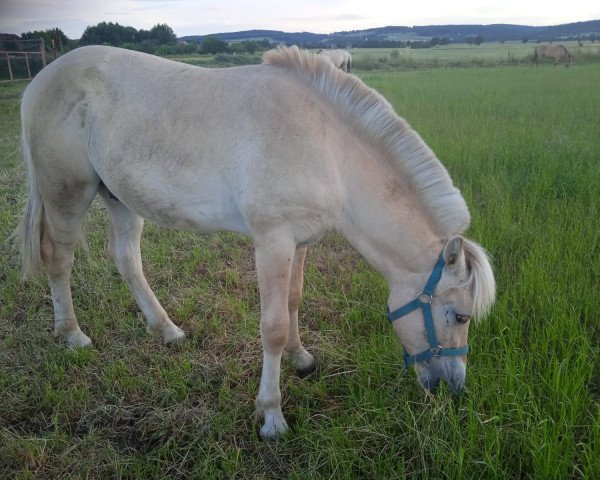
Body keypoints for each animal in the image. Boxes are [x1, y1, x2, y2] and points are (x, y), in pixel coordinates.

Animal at [19, 46, 496, 438]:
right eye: (459, 315)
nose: (454, 387)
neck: (325, 147)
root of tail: (39, 79)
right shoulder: (272, 241)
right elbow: (273, 326)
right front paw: (271, 415)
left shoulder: (300, 242)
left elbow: (294, 300)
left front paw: (302, 359)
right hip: (67, 193)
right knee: (58, 259)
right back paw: (73, 335)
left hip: (119, 197)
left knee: (126, 259)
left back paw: (167, 330)